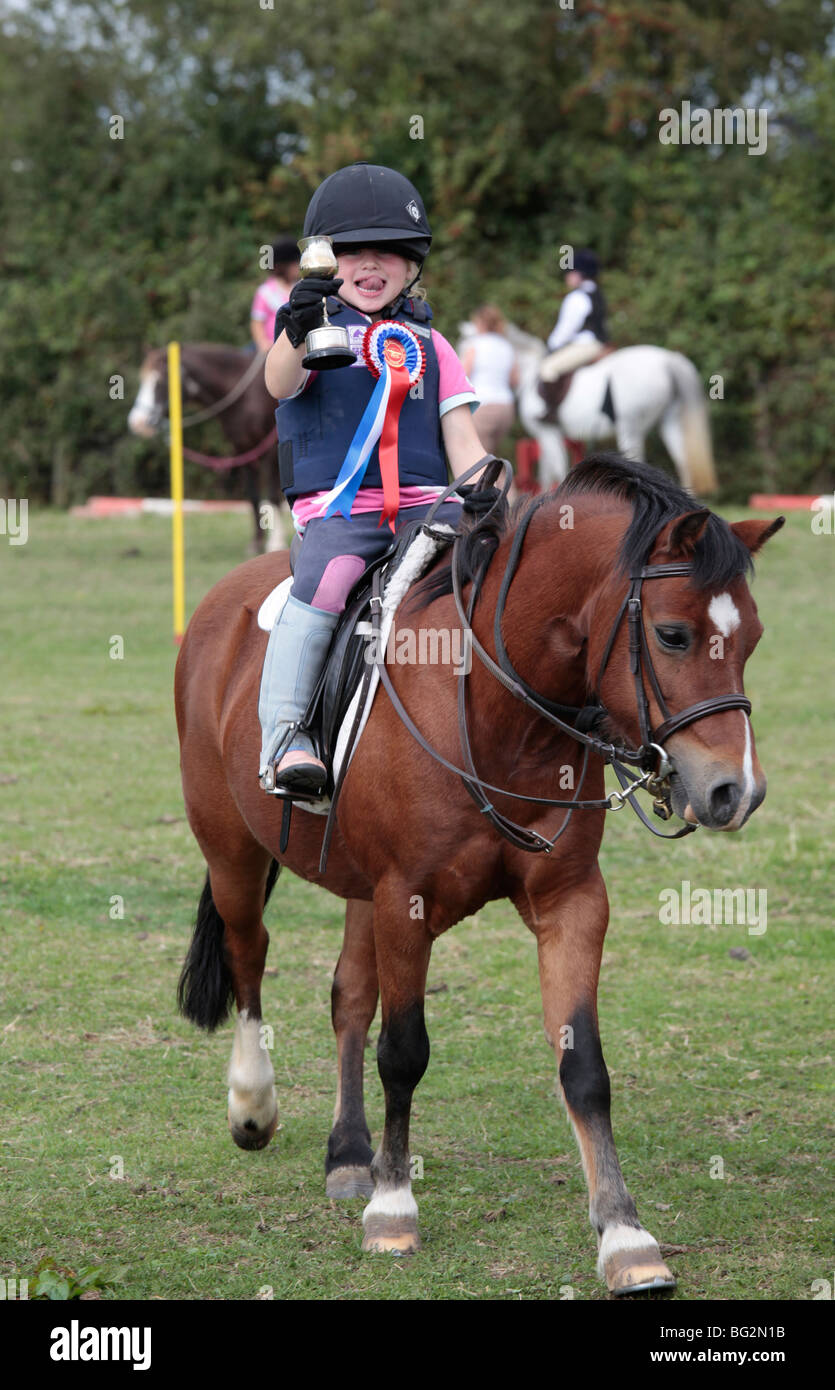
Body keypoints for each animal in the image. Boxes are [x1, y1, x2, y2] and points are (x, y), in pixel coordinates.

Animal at [494, 322, 716, 497]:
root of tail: (667, 360)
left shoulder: (545, 431)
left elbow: (556, 468)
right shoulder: (550, 434)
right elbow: (548, 472)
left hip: (630, 426)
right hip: (669, 422)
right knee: (683, 462)